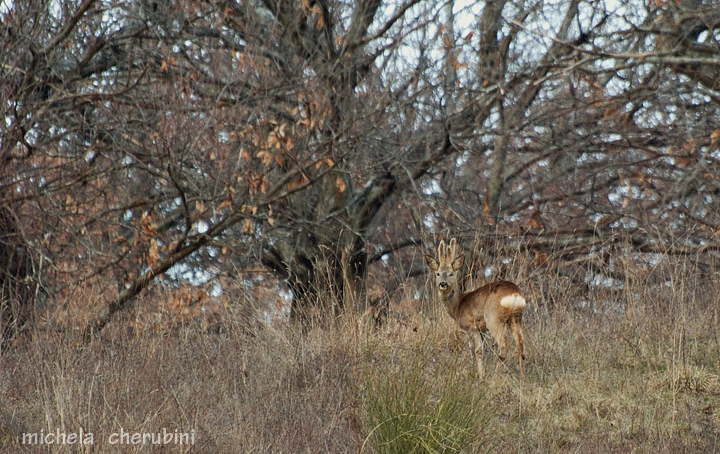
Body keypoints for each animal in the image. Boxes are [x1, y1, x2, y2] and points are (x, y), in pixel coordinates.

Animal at [424, 239, 524, 378]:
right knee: (520, 343)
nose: (443, 284)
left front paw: (481, 376)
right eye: (437, 274)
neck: (457, 305)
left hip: (494, 318)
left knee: (504, 344)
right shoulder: (482, 330)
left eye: (451, 274)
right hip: (516, 317)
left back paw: (495, 376)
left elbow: (478, 351)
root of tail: (514, 294)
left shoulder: (472, 326)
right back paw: (523, 377)